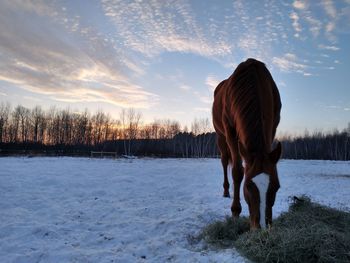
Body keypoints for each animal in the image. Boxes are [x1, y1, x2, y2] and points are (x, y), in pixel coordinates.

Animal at [211, 58, 282, 231]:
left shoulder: (273, 126)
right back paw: (226, 191)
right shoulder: (230, 131)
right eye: (248, 186)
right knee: (225, 161)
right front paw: (235, 211)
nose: (262, 228)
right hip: (221, 136)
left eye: (276, 186)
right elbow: (237, 171)